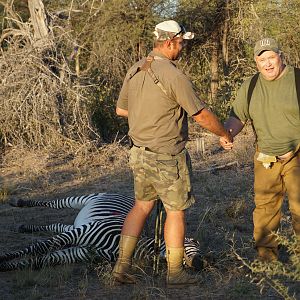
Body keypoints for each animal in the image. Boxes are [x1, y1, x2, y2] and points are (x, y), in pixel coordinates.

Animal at [0, 193, 204, 274]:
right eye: (194, 245)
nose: (200, 265)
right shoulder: (80, 234)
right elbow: (37, 248)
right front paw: (3, 259)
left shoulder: (79, 251)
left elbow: (37, 260)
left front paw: (5, 267)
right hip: (81, 201)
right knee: (54, 204)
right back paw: (19, 203)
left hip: (78, 223)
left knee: (56, 226)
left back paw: (24, 228)